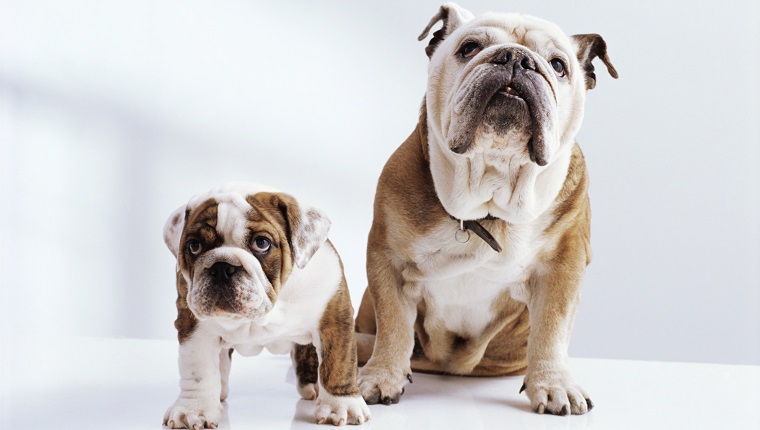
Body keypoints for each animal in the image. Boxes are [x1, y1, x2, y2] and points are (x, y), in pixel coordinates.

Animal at [163, 181, 372, 426]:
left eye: (262, 243)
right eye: (194, 246)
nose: (221, 267)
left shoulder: (333, 318)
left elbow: (338, 362)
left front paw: (341, 405)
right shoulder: (193, 326)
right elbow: (198, 369)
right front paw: (194, 409)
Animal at [356, 1, 616, 414]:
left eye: (558, 65)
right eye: (469, 48)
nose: (516, 58)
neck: (488, 201)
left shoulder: (563, 264)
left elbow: (551, 326)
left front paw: (554, 384)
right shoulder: (389, 260)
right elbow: (393, 323)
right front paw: (381, 376)